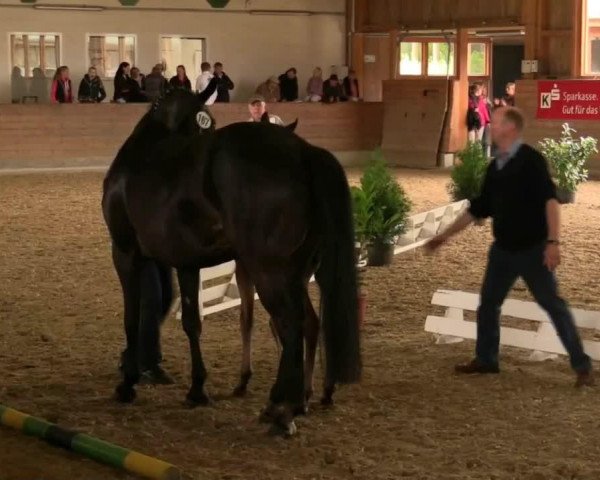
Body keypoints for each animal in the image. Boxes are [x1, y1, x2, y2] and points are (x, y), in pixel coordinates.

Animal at [102, 85, 360, 436]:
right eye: (200, 126)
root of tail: (303, 152)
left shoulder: (125, 252)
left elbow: (132, 317)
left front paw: (128, 382)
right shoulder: (185, 263)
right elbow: (191, 323)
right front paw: (197, 389)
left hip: (270, 273)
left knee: (291, 325)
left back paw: (283, 410)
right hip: (294, 272)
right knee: (304, 323)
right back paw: (292, 402)